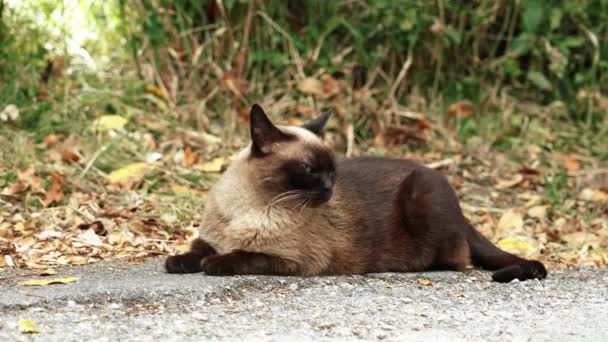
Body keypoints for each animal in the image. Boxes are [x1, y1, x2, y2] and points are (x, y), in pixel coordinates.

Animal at [165, 104, 548, 284]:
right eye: (310, 170)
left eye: (333, 170)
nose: (329, 188)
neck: (250, 205)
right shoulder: (210, 238)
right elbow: (194, 251)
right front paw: (179, 262)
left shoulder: (295, 261)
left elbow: (243, 256)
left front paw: (214, 265)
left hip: (422, 194)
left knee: (456, 259)